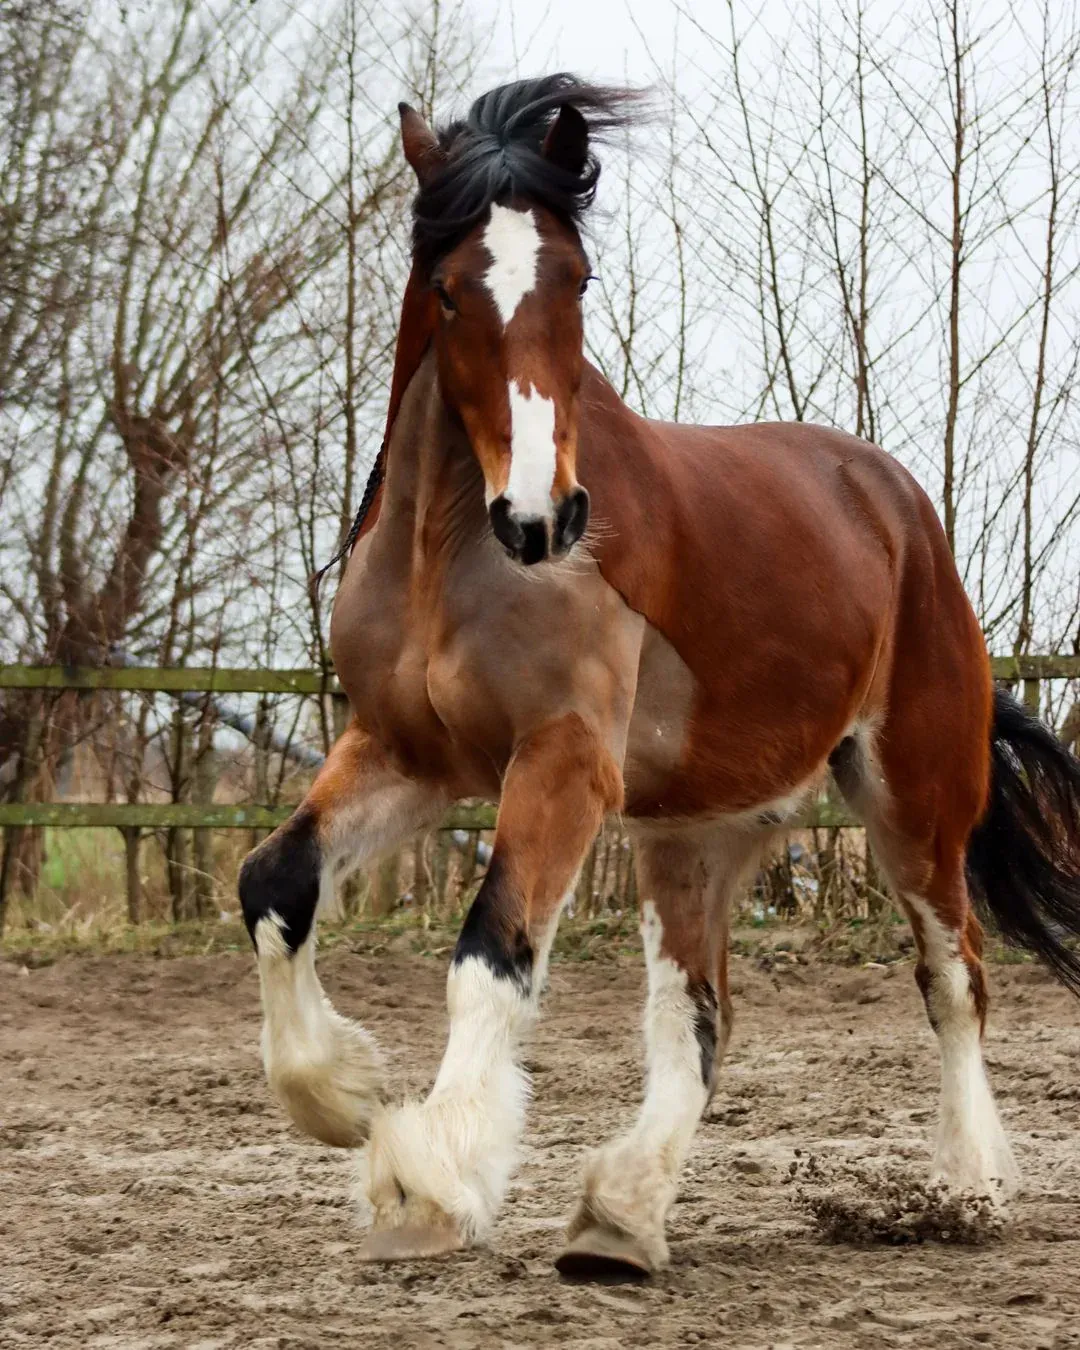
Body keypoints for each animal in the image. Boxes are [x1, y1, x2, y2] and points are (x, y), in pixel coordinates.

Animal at [238, 75, 1080, 1280]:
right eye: (447, 290)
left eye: (576, 278)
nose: (542, 519)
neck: (453, 550)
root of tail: (895, 502)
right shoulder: (404, 754)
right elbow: (273, 882)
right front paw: (342, 1094)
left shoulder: (562, 761)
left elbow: (491, 952)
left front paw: (426, 1181)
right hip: (696, 830)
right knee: (702, 1016)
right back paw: (620, 1218)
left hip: (915, 801)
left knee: (953, 975)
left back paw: (969, 1187)